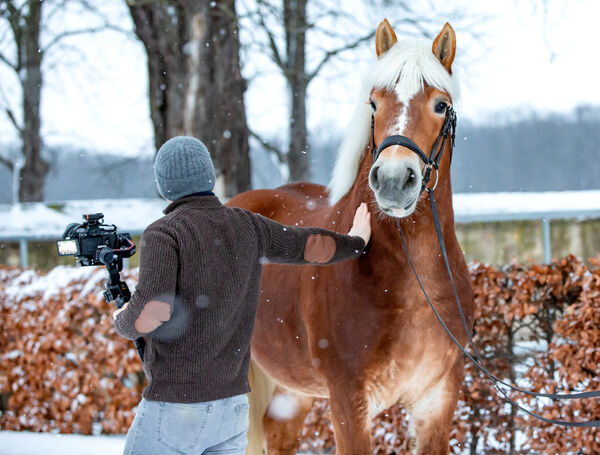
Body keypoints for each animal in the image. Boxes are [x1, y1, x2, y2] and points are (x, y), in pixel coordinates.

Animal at [229, 18, 474, 455]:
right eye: (374, 103)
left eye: (441, 105)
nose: (393, 180)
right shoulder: (347, 399)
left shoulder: (437, 401)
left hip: (293, 391)